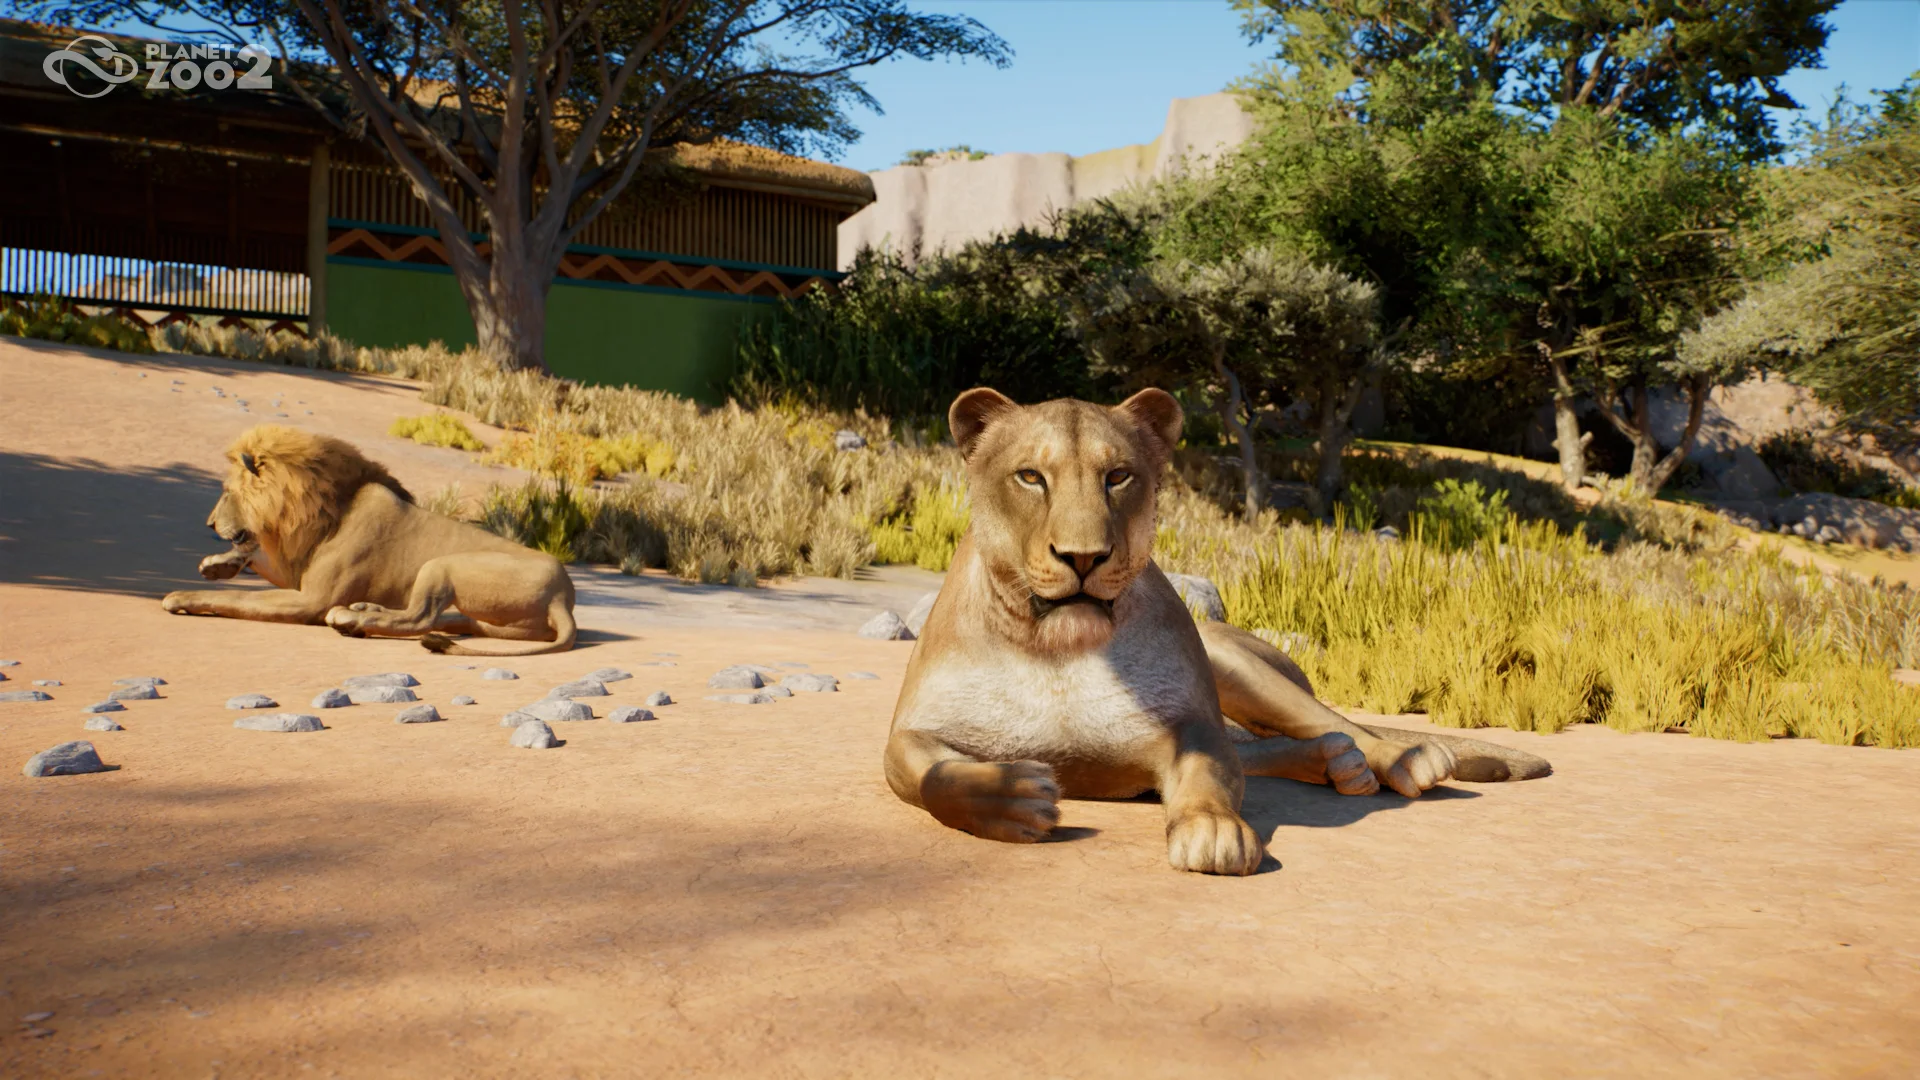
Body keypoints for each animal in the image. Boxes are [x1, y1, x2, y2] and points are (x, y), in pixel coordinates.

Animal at [161, 424, 577, 655]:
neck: (321, 512)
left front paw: (182, 596)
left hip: (443, 564)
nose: (209, 524)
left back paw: (350, 618)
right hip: (483, 618)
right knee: (438, 620)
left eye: (226, 491)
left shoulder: (312, 599)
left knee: (418, 618)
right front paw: (217, 564)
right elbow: (253, 557)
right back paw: (364, 610)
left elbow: (236, 598)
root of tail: (563, 597)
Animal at [885, 388, 1550, 875]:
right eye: (1030, 477)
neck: (1056, 649)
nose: (1083, 557)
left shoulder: (1192, 723)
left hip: (1233, 658)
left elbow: (1209, 772)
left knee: (1333, 723)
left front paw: (1212, 833)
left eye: (1118, 476)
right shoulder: (909, 735)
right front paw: (1016, 795)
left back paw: (1403, 760)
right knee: (1270, 747)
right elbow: (933, 778)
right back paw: (1338, 764)